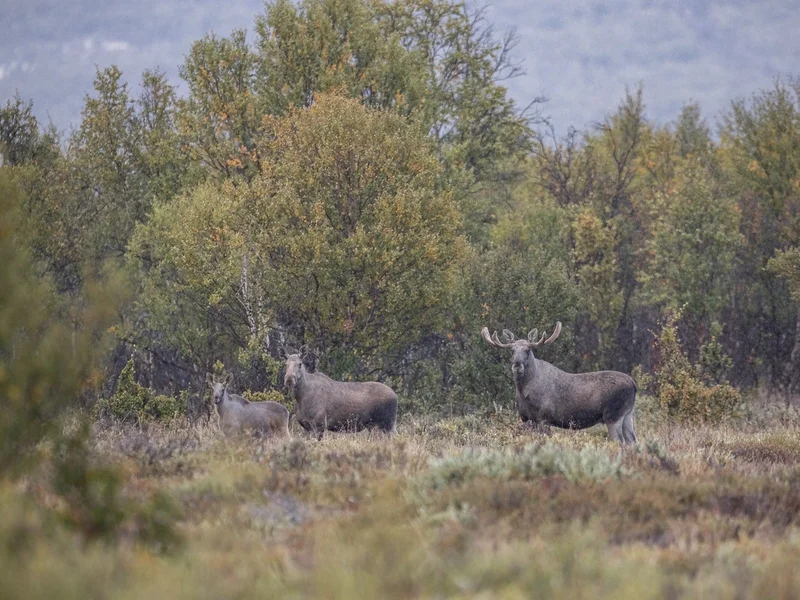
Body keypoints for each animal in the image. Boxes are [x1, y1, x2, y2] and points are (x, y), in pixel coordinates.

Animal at [481, 322, 637, 444]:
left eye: (528, 349)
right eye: (512, 350)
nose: (517, 365)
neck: (524, 392)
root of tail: (634, 384)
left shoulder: (544, 418)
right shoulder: (526, 419)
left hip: (613, 414)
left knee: (620, 442)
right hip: (627, 414)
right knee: (632, 441)